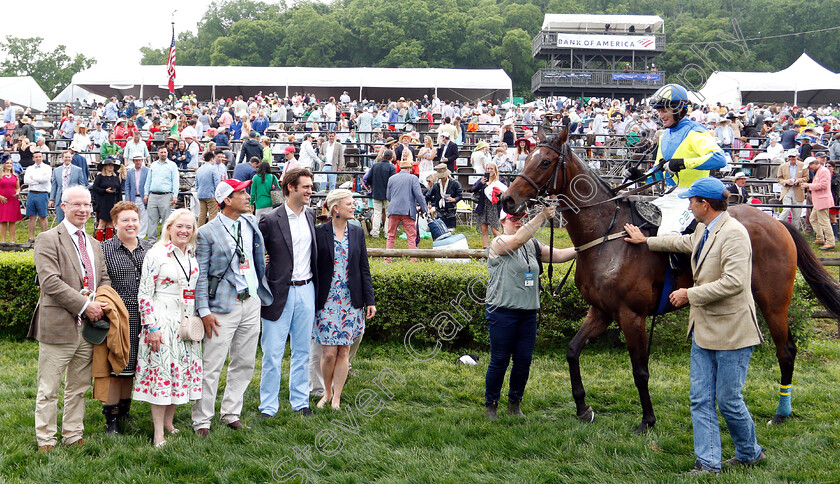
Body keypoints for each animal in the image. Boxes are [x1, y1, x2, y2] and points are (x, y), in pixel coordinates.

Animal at [498, 125, 840, 434]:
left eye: (544, 162)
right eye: (528, 157)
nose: (508, 200)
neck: (608, 233)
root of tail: (778, 223)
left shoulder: (631, 315)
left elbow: (640, 370)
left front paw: (647, 419)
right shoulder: (601, 311)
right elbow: (572, 350)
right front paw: (583, 408)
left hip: (773, 301)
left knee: (787, 350)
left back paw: (781, 413)